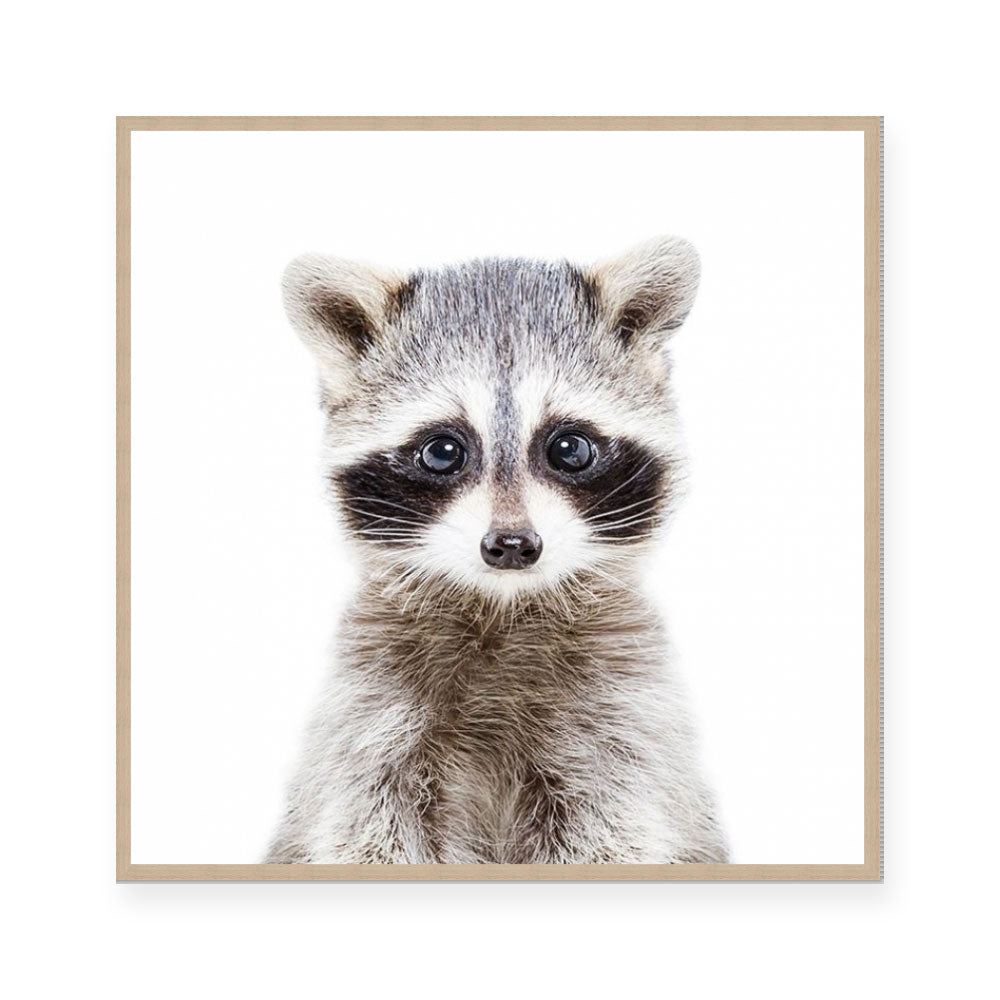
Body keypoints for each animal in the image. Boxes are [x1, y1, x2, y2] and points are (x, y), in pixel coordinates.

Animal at [265, 237, 728, 864]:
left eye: (570, 448)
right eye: (442, 451)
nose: (512, 545)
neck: (501, 607)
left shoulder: (624, 718)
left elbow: (615, 830)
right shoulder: (369, 714)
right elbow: (366, 829)